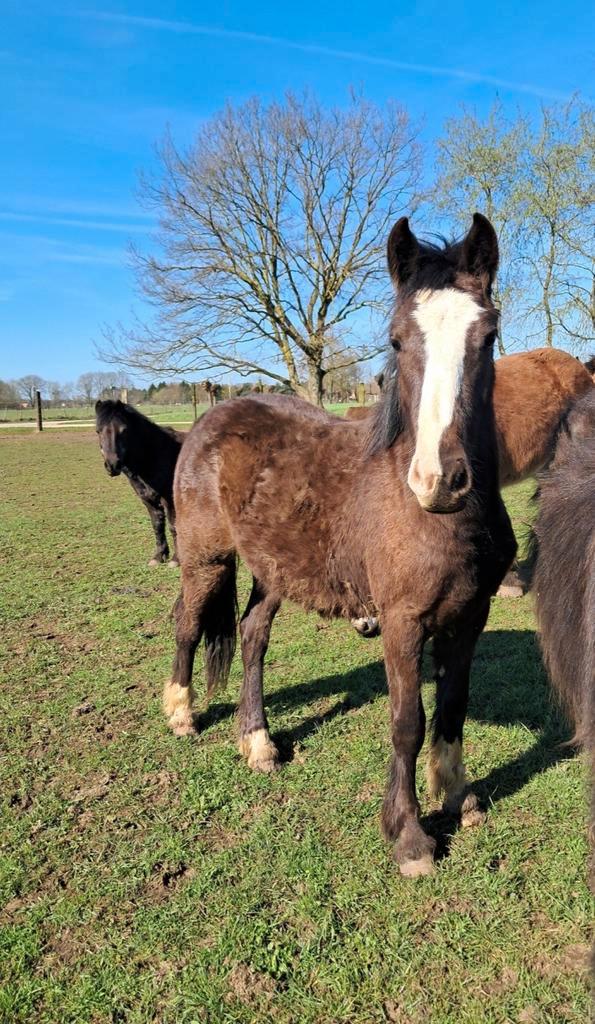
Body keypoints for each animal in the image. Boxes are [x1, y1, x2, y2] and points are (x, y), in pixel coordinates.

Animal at [95, 400, 186, 567]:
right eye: (98, 431)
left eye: (124, 430)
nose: (112, 465)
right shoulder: (148, 500)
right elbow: (157, 525)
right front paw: (158, 557)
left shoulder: (170, 499)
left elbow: (173, 526)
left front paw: (176, 560)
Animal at [164, 212, 517, 877]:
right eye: (398, 341)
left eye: (488, 336)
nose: (440, 480)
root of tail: (210, 419)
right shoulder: (403, 620)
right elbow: (409, 721)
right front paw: (409, 836)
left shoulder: (471, 615)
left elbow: (453, 707)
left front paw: (457, 797)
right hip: (206, 558)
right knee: (188, 623)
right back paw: (180, 712)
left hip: (274, 571)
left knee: (252, 636)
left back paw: (258, 742)